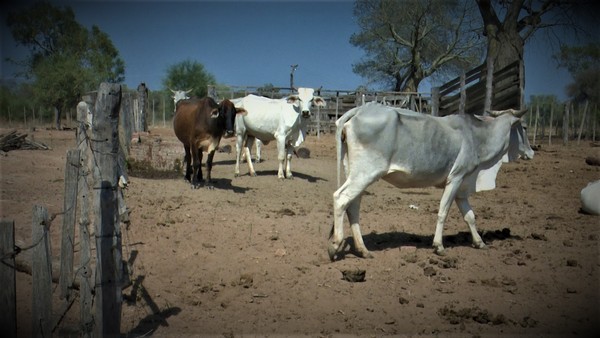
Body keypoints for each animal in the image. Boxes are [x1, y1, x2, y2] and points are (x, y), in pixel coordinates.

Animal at [328, 101, 536, 260]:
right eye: (525, 127)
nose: (532, 152)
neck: (478, 136)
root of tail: (360, 109)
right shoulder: (456, 178)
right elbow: (443, 212)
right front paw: (438, 246)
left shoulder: (462, 186)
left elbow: (470, 216)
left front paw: (479, 242)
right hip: (366, 173)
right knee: (340, 198)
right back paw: (335, 245)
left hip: (355, 172)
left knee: (353, 206)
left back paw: (363, 250)